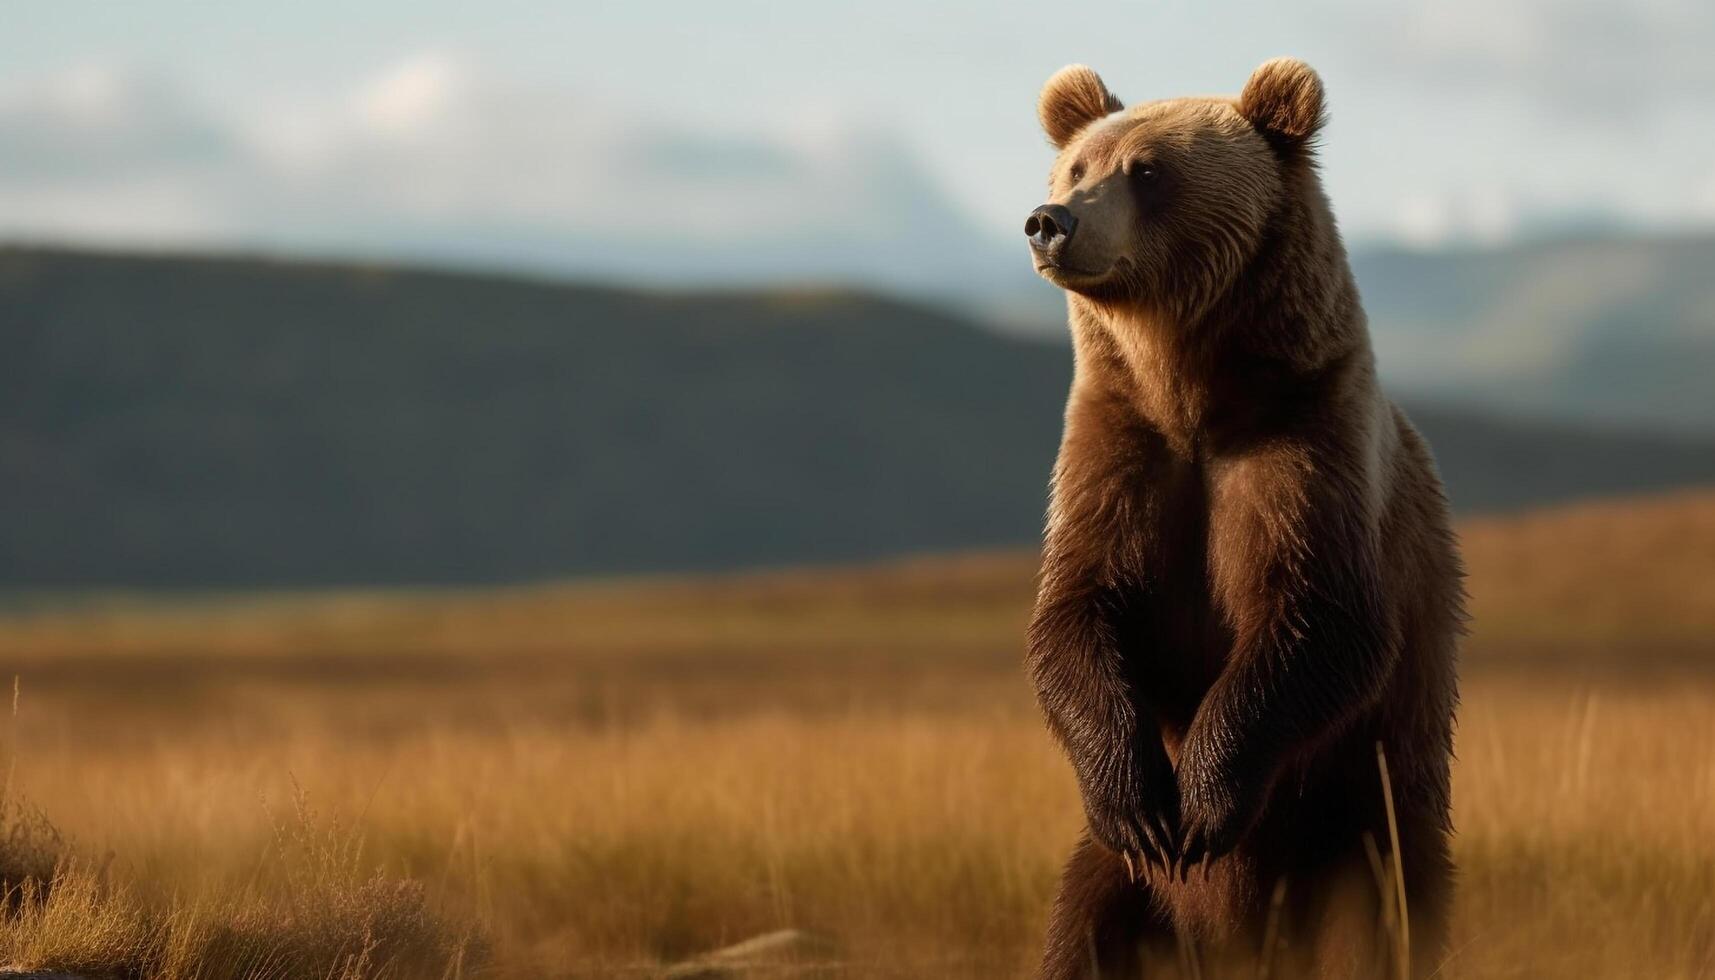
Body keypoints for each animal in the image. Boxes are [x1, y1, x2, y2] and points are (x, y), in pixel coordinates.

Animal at [1022, 61, 1468, 980]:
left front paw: (1200, 804)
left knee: (1384, 926)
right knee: (1081, 926)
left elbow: (1319, 621)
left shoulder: (1302, 451)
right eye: (1076, 167)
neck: (1193, 393)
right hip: (1120, 888)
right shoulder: (1117, 453)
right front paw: (1145, 808)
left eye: (1147, 170)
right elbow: (1075, 614)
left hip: (1359, 837)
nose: (1049, 221)